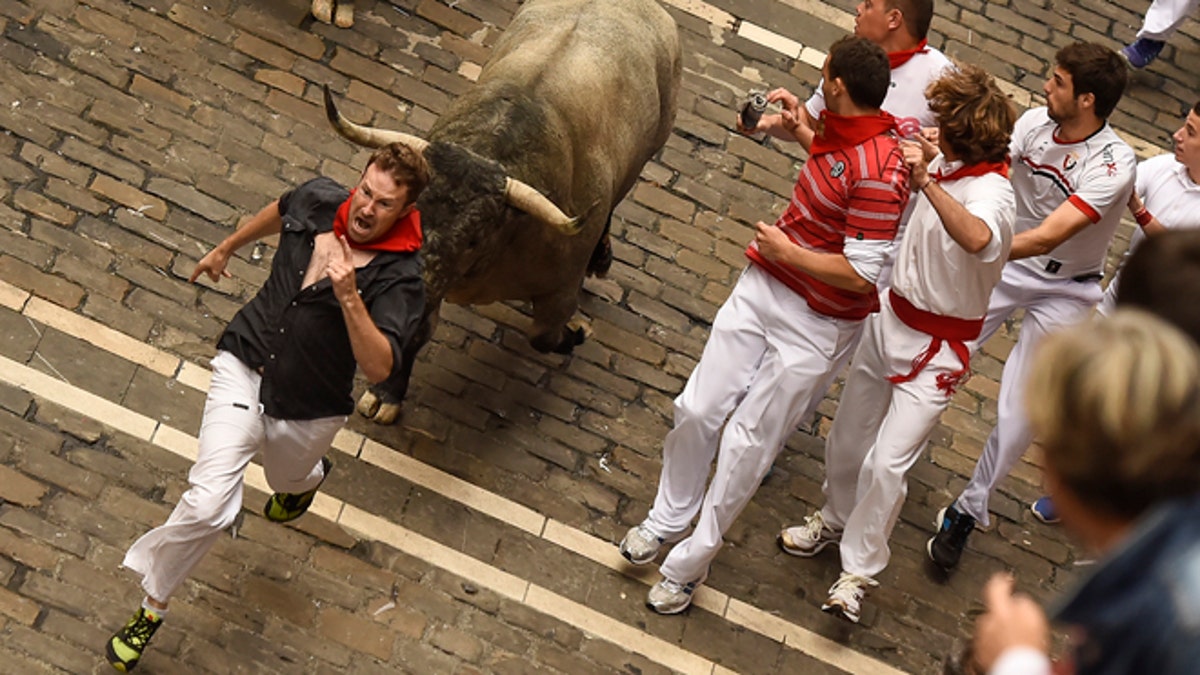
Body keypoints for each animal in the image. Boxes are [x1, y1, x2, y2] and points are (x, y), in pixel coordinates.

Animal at [324, 0, 681, 422]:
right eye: (410, 215)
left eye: (474, 238)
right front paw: (387, 394)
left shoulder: (560, 288)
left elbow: (544, 335)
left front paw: (574, 334)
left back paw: (601, 257)